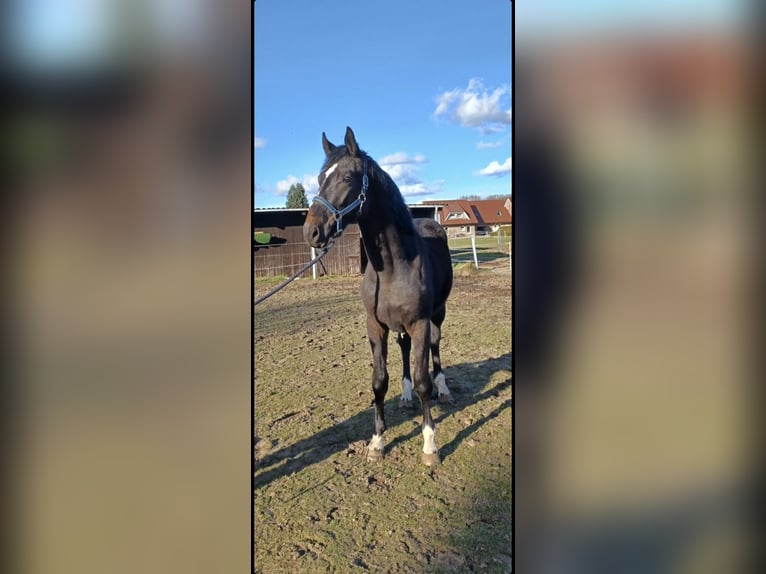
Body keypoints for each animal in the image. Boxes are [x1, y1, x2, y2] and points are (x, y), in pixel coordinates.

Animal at [303, 127, 454, 466]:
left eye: (347, 177)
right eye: (320, 178)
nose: (311, 232)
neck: (395, 268)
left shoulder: (420, 322)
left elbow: (423, 378)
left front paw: (430, 446)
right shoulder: (375, 326)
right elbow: (379, 381)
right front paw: (376, 442)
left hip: (437, 314)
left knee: (436, 345)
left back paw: (443, 389)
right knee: (405, 350)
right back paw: (406, 396)